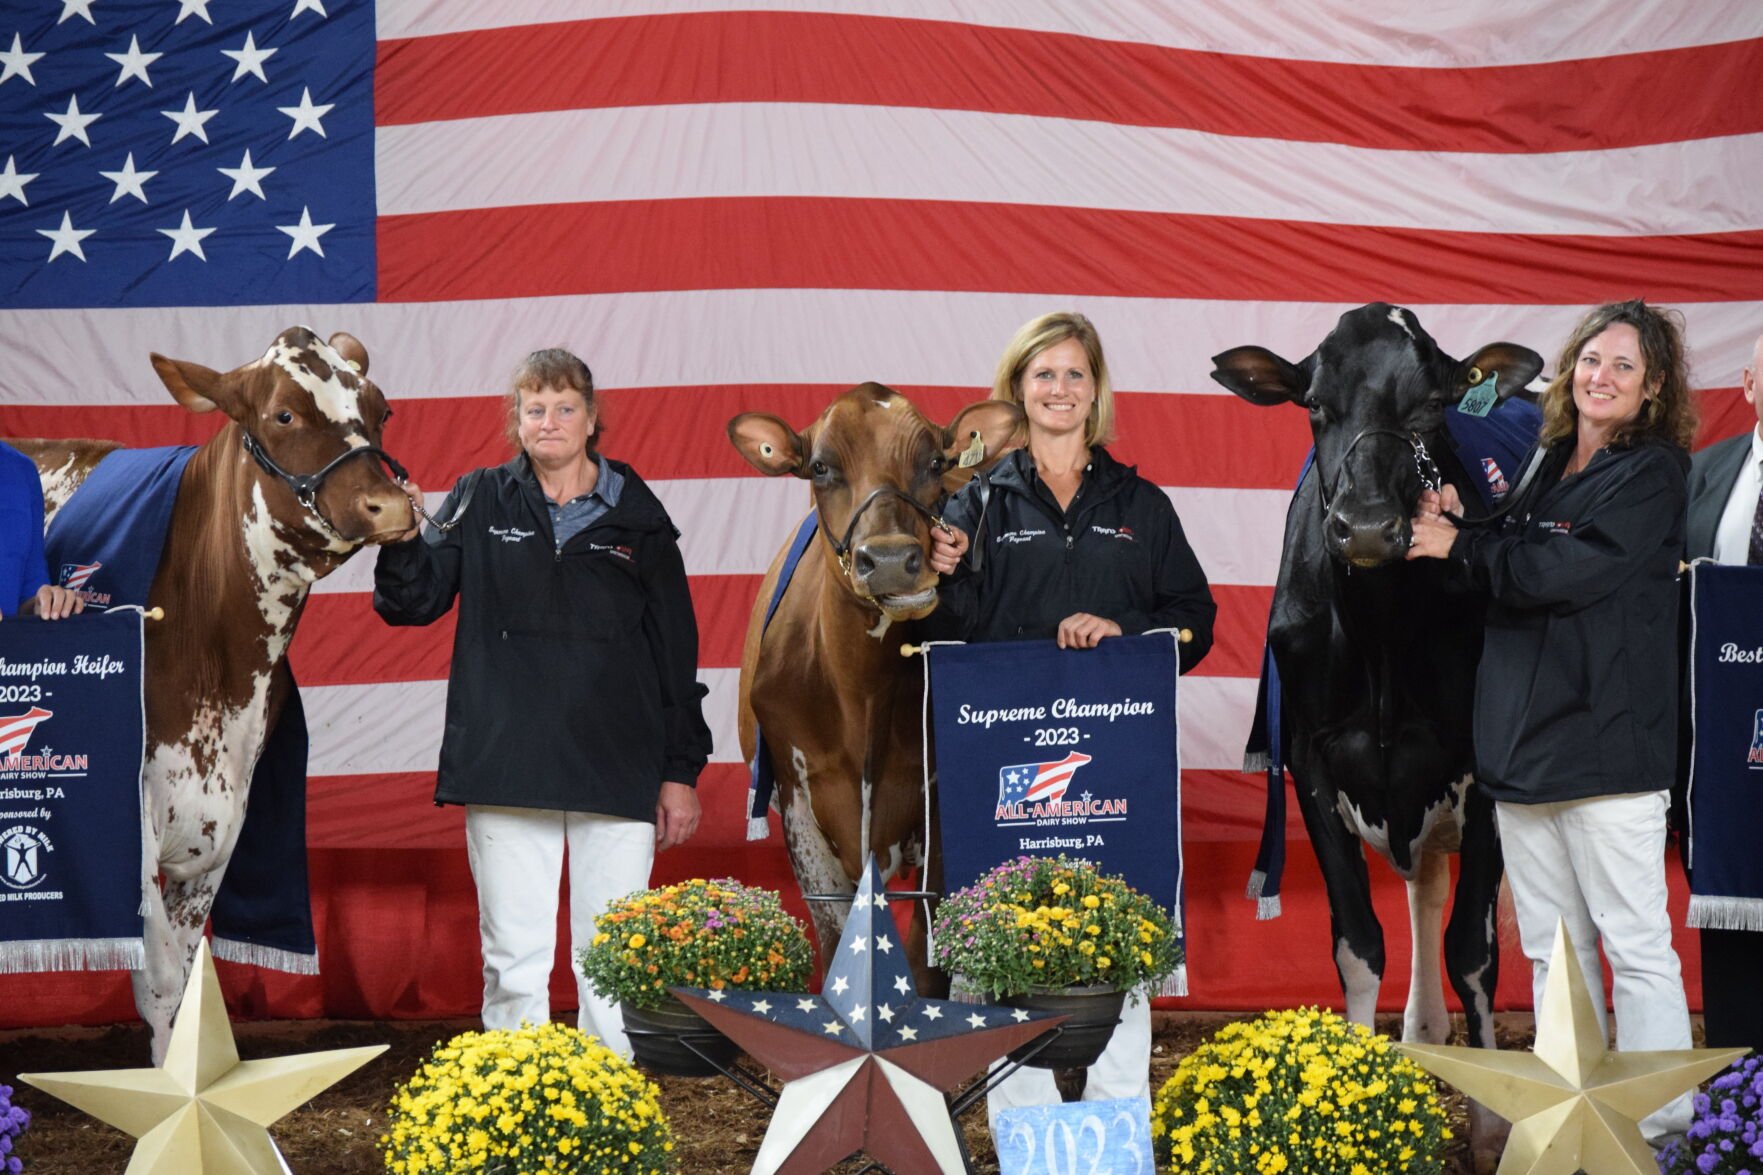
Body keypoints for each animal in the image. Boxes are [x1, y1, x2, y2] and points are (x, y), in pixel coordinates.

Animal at [15, 324, 412, 1058]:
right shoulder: (130, 831)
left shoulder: (223, 820)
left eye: (383, 408)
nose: (393, 505)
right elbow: (160, 977)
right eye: (283, 415)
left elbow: (180, 985)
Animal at [726, 382, 1022, 980]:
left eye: (934, 462)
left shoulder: (937, 812)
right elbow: (840, 942)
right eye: (819, 467)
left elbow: (928, 954)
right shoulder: (801, 808)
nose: (888, 560)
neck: (860, 689)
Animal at [1212, 301, 1544, 1058]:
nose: (1364, 526)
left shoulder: (1481, 764)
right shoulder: (1312, 757)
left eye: (1431, 405)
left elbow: (1473, 949)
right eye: (1312, 404)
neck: (1382, 640)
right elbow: (1359, 944)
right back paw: (1421, 1030)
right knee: (1423, 890)